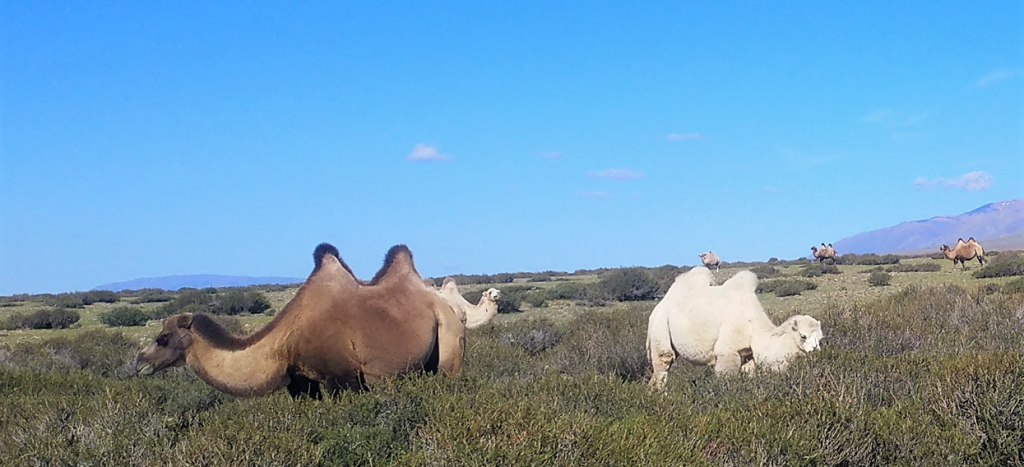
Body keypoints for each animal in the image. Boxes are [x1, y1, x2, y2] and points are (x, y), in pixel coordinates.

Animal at [132, 242, 464, 399]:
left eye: (162, 338)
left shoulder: (343, 378)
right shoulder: (300, 381)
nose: (138, 362)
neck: (284, 343)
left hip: (449, 347)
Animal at [647, 264, 823, 389]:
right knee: (663, 362)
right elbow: (726, 378)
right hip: (660, 326)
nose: (816, 351)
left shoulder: (749, 354)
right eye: (803, 336)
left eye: (820, 338)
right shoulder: (727, 352)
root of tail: (659, 306)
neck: (753, 327)